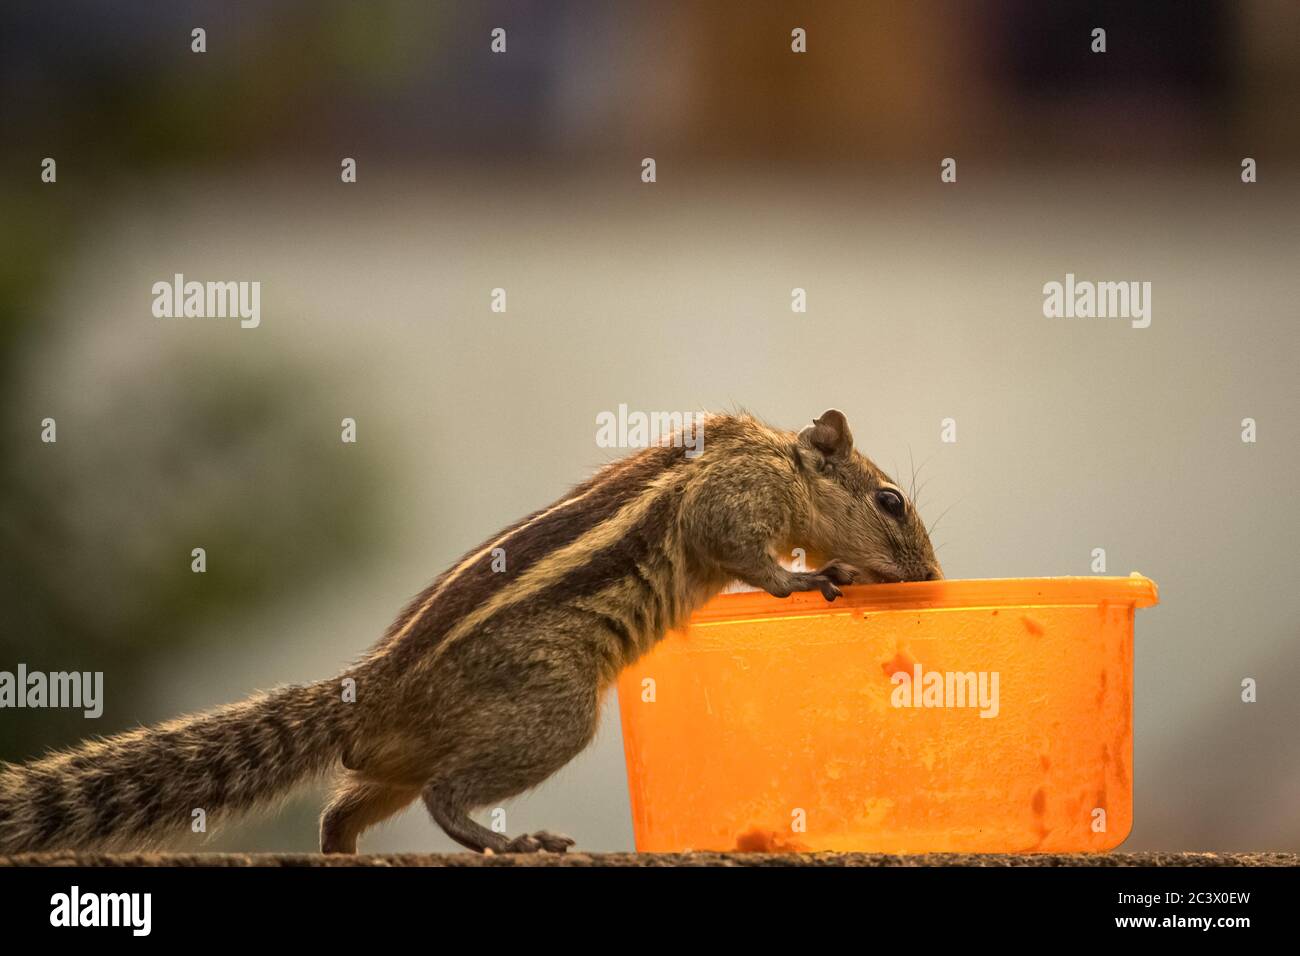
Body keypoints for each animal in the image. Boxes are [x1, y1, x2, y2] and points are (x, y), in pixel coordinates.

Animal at [0, 409, 941, 855]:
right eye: (891, 500)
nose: (930, 575)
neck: (777, 455)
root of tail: (367, 688)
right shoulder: (733, 500)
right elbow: (746, 553)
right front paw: (809, 577)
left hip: (399, 758)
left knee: (347, 808)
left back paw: (347, 853)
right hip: (552, 717)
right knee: (446, 798)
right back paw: (512, 840)